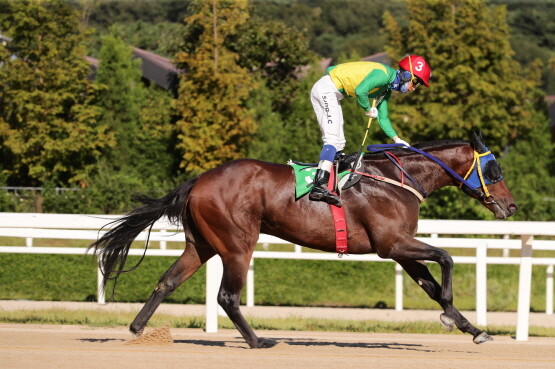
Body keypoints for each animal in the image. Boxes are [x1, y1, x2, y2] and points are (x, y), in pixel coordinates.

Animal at [88, 133, 516, 348]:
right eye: (495, 169)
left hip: (202, 244)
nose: (510, 207)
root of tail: (199, 180)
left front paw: (472, 328)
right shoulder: (392, 244)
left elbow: (431, 284)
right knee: (227, 296)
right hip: (237, 244)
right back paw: (259, 342)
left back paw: (137, 329)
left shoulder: (399, 249)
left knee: (168, 281)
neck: (397, 180)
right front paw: (452, 316)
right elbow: (446, 258)